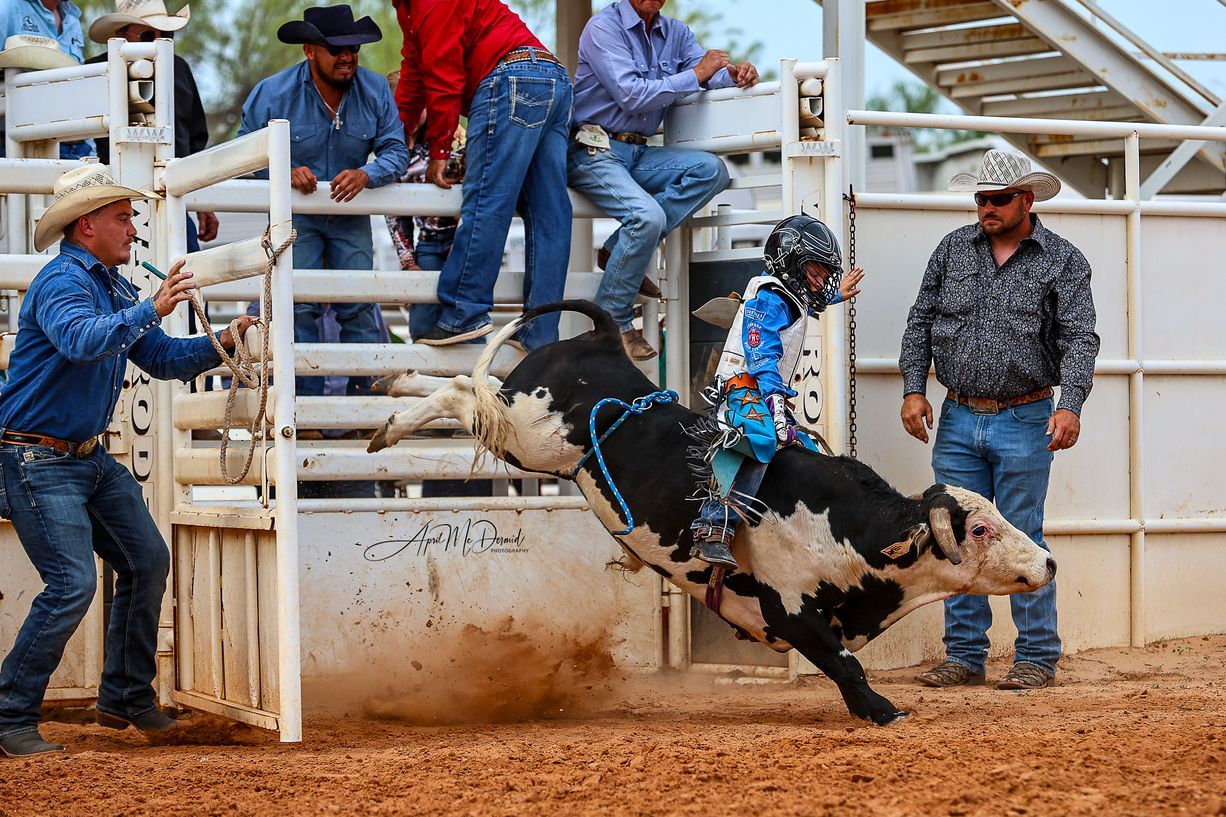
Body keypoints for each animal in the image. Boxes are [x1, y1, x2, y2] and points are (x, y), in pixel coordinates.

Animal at [369, 301, 1056, 726]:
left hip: (526, 426)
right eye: (982, 528)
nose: (1048, 563)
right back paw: (388, 426)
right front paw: (884, 710)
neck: (843, 527)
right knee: (466, 393)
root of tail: (602, 340)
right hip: (532, 438)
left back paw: (392, 386)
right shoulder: (789, 607)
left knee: (472, 386)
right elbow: (844, 663)